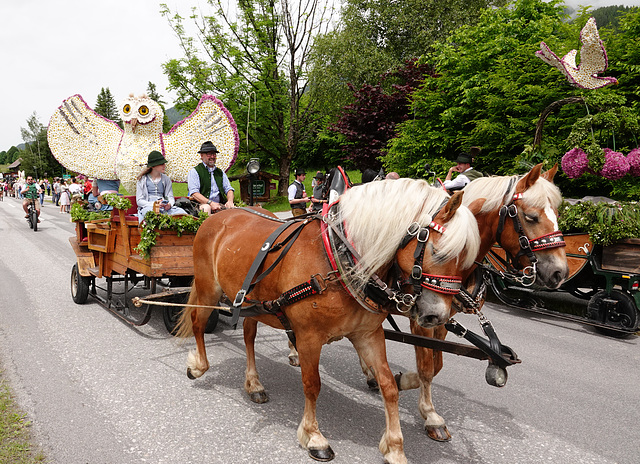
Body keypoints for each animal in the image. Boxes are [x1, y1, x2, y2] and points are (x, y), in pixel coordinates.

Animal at [175, 179, 480, 464]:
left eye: (468, 260)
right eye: (439, 253)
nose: (437, 316)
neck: (338, 260)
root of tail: (218, 215)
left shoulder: (368, 334)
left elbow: (389, 387)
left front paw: (394, 446)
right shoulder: (309, 337)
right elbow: (312, 384)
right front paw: (314, 436)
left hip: (252, 302)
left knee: (249, 337)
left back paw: (254, 384)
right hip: (208, 289)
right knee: (198, 323)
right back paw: (199, 366)